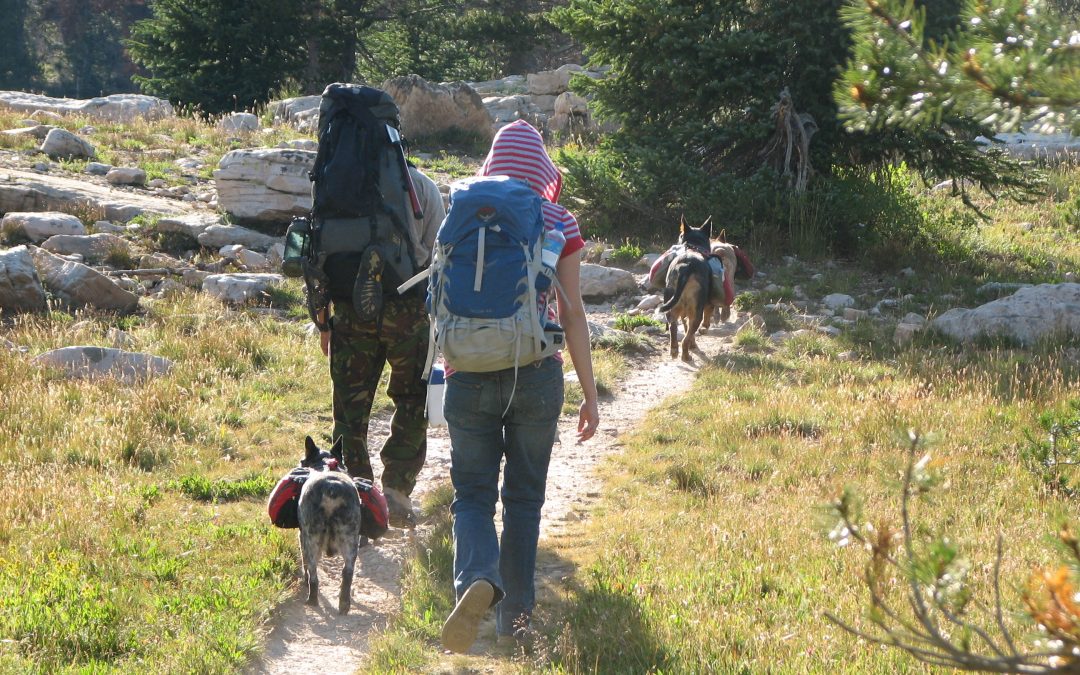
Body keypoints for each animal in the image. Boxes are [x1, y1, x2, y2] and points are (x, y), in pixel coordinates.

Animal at [660, 218, 712, 360]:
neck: (694, 248)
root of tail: (686, 267)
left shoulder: (684, 312)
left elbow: (684, 324)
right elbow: (690, 332)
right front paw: (693, 346)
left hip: (671, 301)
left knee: (673, 327)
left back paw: (674, 350)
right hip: (697, 312)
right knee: (686, 337)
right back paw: (686, 355)